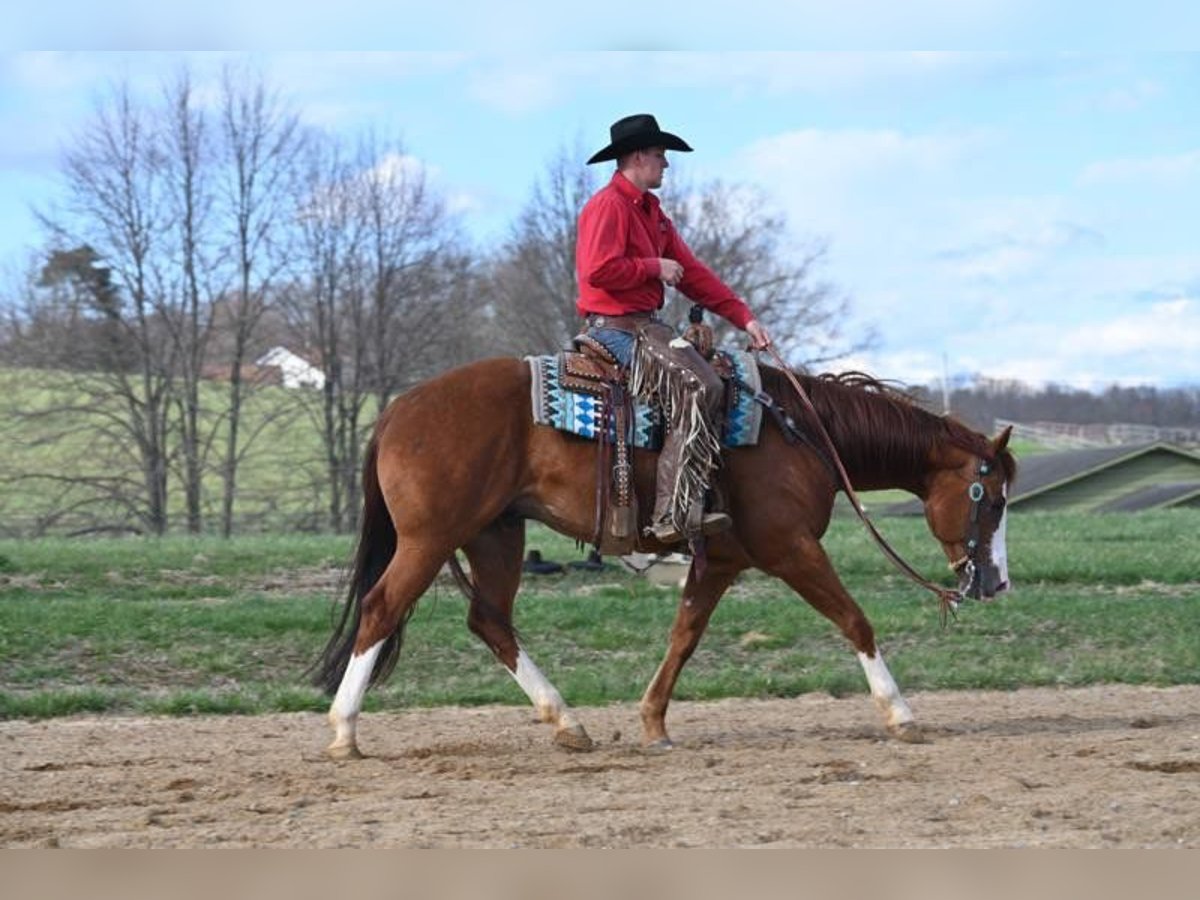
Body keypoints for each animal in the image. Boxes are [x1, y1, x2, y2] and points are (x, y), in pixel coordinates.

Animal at [309, 355, 1012, 758]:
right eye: (992, 497)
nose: (996, 583)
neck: (804, 434)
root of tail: (399, 408)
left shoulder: (720, 560)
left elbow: (684, 635)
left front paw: (652, 722)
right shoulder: (789, 547)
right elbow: (854, 620)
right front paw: (901, 714)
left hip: (495, 536)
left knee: (490, 621)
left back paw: (567, 723)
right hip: (430, 539)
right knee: (382, 608)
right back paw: (344, 732)